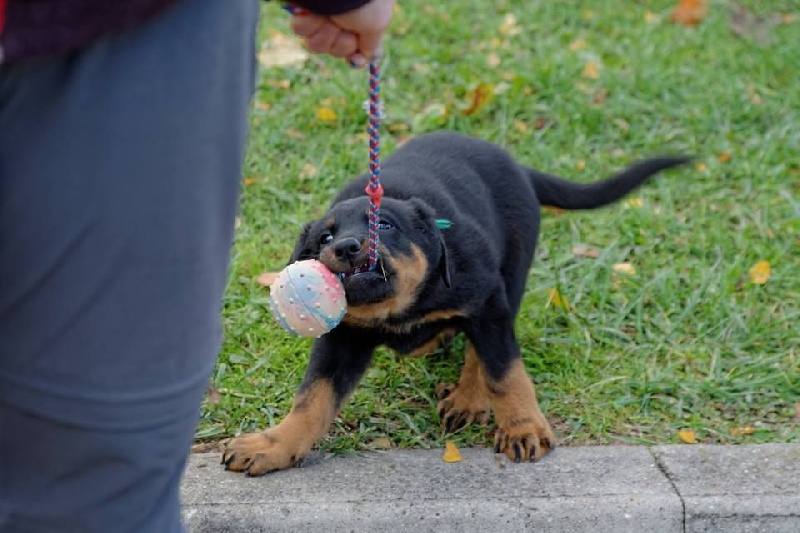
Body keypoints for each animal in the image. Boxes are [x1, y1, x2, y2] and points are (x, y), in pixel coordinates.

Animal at [223, 131, 690, 476]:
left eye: (384, 225)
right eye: (325, 237)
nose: (347, 248)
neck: (400, 307)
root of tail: (517, 166)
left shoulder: (487, 302)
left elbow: (504, 371)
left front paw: (523, 428)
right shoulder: (342, 339)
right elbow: (312, 398)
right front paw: (273, 444)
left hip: (511, 275)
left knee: (480, 351)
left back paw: (468, 397)